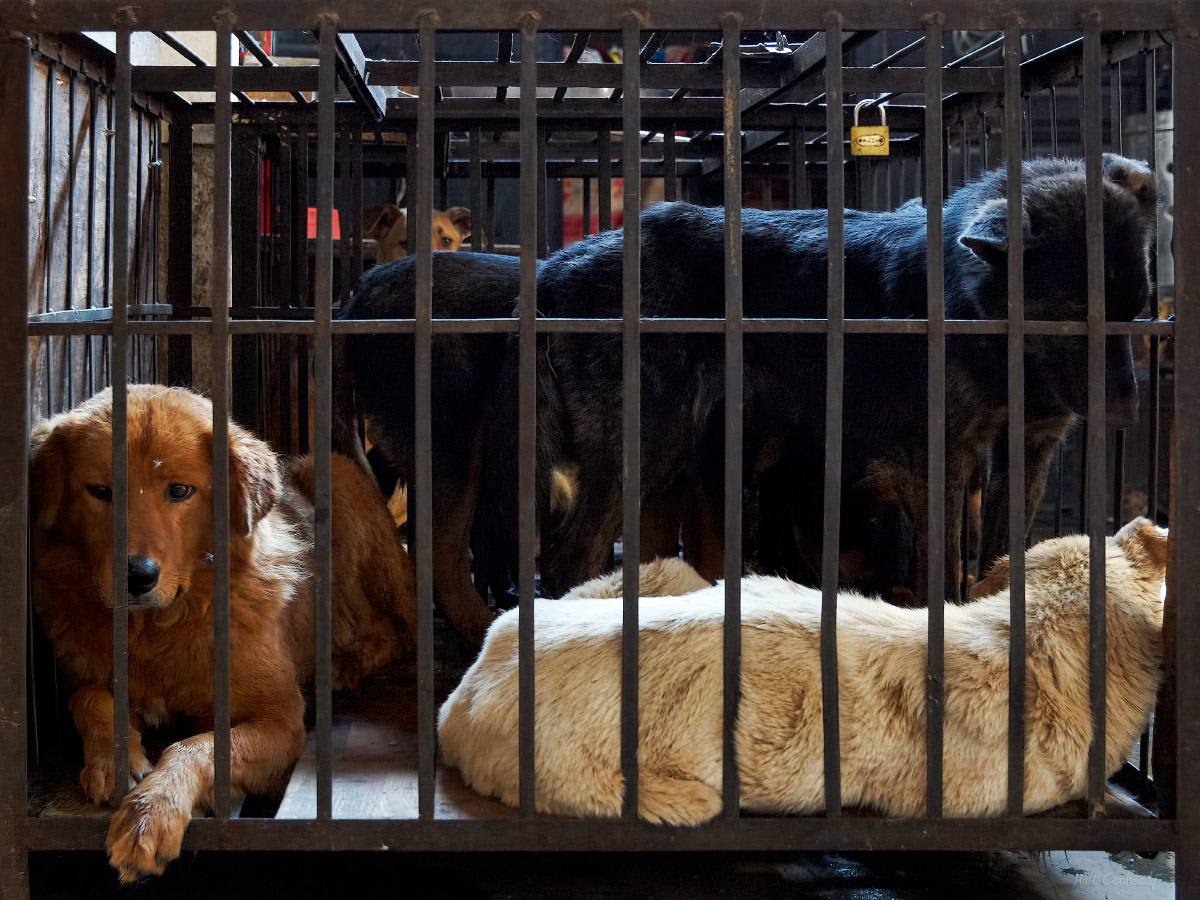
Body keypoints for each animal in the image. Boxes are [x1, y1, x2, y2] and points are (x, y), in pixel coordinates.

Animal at [32, 386, 417, 883]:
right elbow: (90, 699)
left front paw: (151, 813)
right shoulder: (85, 678)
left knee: (397, 629)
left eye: (179, 491)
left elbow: (197, 746)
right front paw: (115, 761)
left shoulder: (281, 721)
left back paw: (343, 661)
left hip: (338, 480)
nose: (137, 576)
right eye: (100, 492)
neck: (156, 632)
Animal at [482, 157, 1156, 602]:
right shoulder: (942, 459)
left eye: (1137, 309)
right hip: (643, 448)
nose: (1129, 413)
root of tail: (552, 268)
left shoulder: (1027, 451)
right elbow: (940, 573)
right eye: (1072, 311)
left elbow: (997, 557)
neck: (975, 313)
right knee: (565, 561)